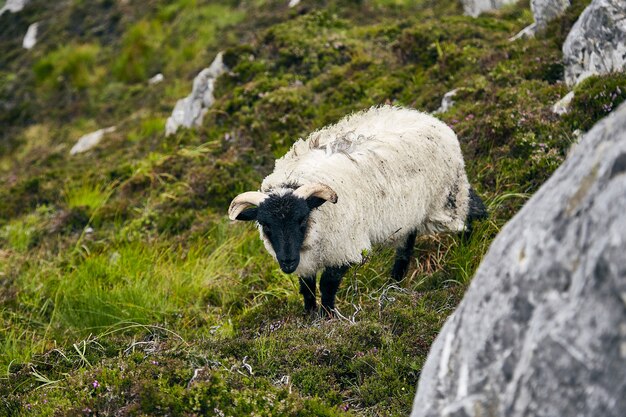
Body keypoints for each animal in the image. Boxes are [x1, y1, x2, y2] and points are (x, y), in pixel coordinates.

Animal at [227, 105, 486, 316]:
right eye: (265, 225)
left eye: (301, 219)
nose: (287, 262)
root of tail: (436, 122)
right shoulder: (305, 259)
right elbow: (307, 288)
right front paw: (309, 317)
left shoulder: (345, 248)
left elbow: (327, 284)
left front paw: (328, 317)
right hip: (411, 213)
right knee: (406, 248)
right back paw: (394, 285)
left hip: (445, 200)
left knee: (465, 222)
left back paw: (466, 251)